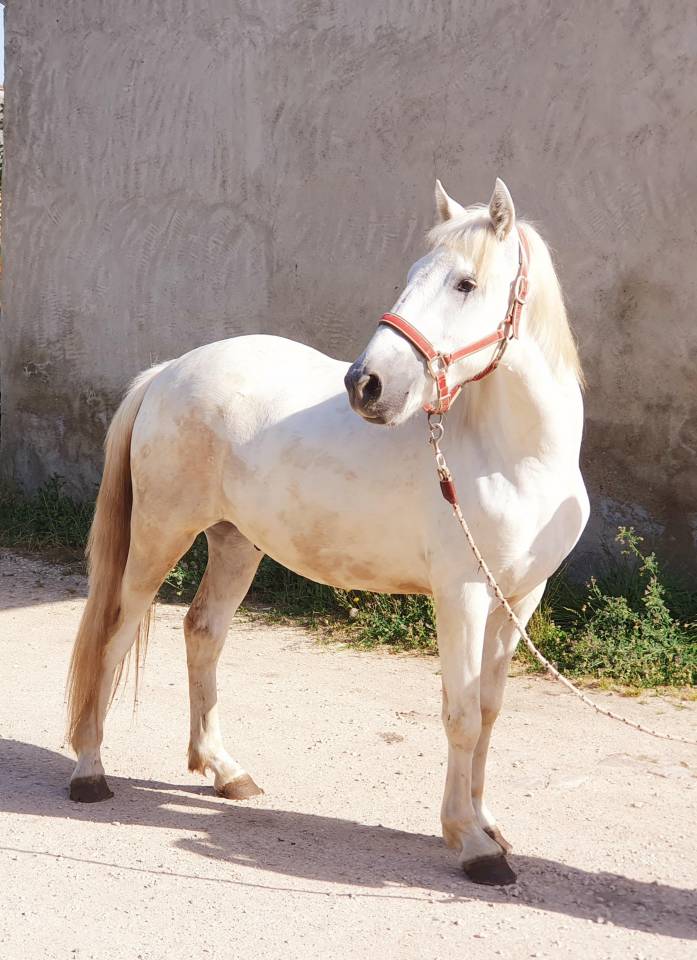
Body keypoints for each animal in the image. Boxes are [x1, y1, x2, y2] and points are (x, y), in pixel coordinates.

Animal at [66, 178, 588, 886]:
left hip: (236, 543)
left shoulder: (519, 598)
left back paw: (225, 771)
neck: (512, 454)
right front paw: (472, 845)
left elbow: (487, 710)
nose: (366, 384)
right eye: (412, 274)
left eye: (465, 282)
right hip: (159, 536)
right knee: (116, 636)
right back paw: (90, 772)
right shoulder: (463, 596)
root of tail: (169, 371)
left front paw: (487, 825)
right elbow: (458, 714)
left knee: (203, 633)